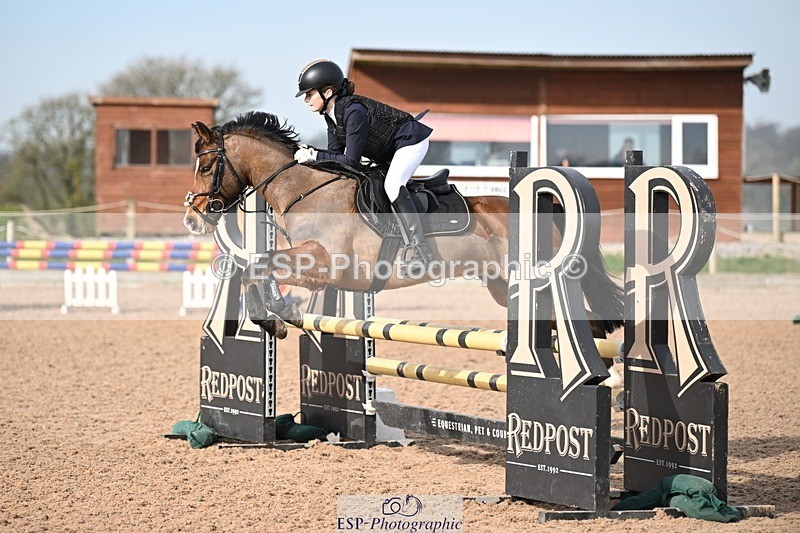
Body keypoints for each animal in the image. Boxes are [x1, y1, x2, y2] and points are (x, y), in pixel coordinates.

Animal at [183, 111, 623, 340]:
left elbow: (259, 265)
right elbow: (253, 267)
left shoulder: (325, 262)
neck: (306, 190)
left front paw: (275, 315)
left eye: (205, 167)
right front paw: (277, 316)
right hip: (502, 286)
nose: (191, 219)